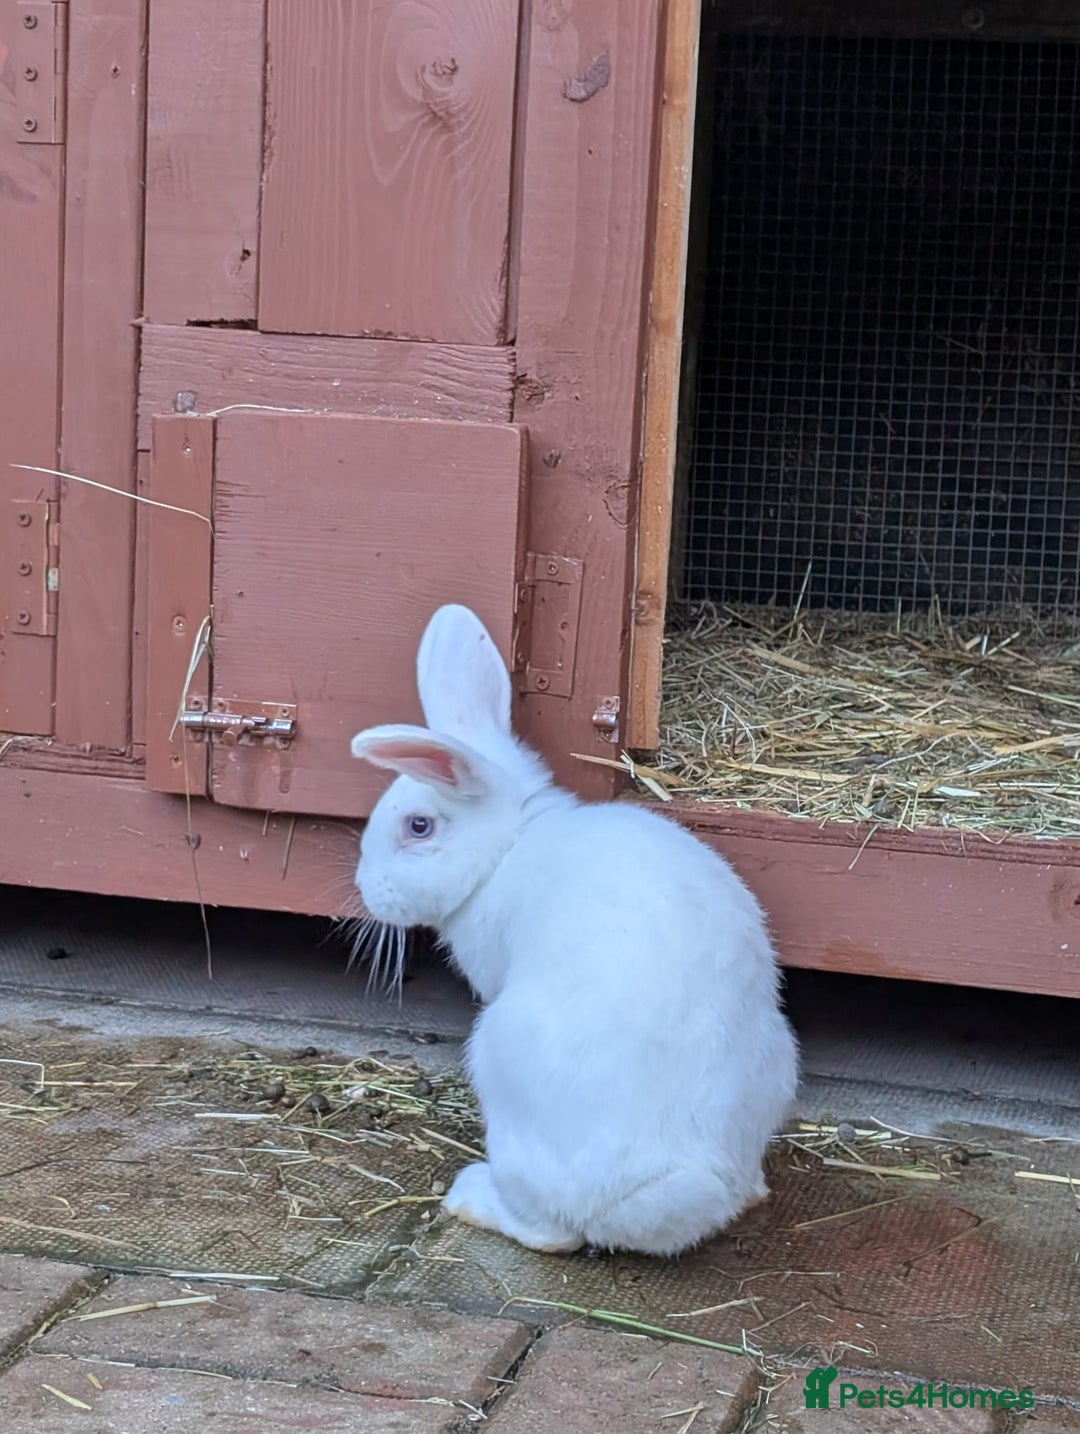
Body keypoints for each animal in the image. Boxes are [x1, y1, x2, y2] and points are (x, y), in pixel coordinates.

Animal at [350, 604, 798, 1256]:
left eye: (419, 826)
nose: (365, 888)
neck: (510, 846)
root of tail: (679, 1184)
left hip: (500, 1059)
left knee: (552, 1233)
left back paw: (471, 1197)